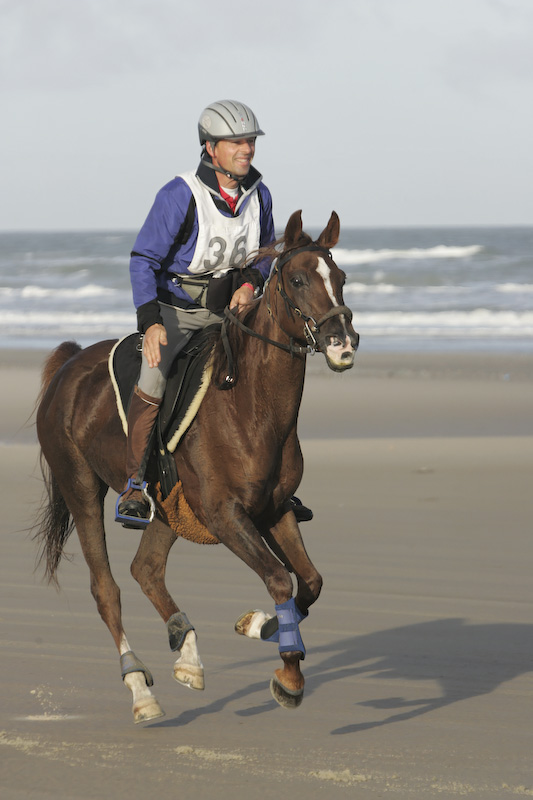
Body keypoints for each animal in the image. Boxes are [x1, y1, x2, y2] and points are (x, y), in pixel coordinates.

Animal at [33, 209, 358, 720]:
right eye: (298, 279)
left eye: (341, 278)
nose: (342, 342)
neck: (250, 405)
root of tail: (69, 365)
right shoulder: (224, 515)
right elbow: (279, 580)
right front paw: (288, 675)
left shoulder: (275, 509)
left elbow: (308, 581)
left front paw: (262, 626)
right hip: (80, 487)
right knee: (106, 589)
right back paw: (139, 689)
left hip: (167, 508)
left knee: (146, 569)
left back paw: (187, 653)